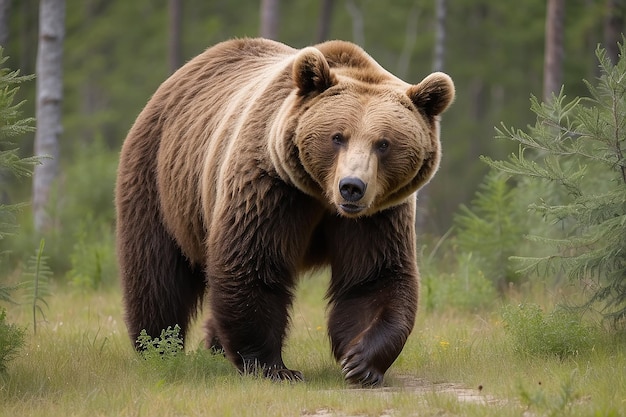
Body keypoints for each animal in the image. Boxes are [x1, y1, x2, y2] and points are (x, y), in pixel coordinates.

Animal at [114, 37, 450, 386]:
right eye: (337, 137)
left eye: (383, 143)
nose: (351, 186)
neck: (321, 195)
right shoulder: (271, 189)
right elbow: (253, 263)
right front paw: (273, 367)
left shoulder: (377, 215)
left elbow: (373, 276)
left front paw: (361, 361)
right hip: (162, 180)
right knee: (156, 271)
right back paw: (157, 346)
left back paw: (215, 347)